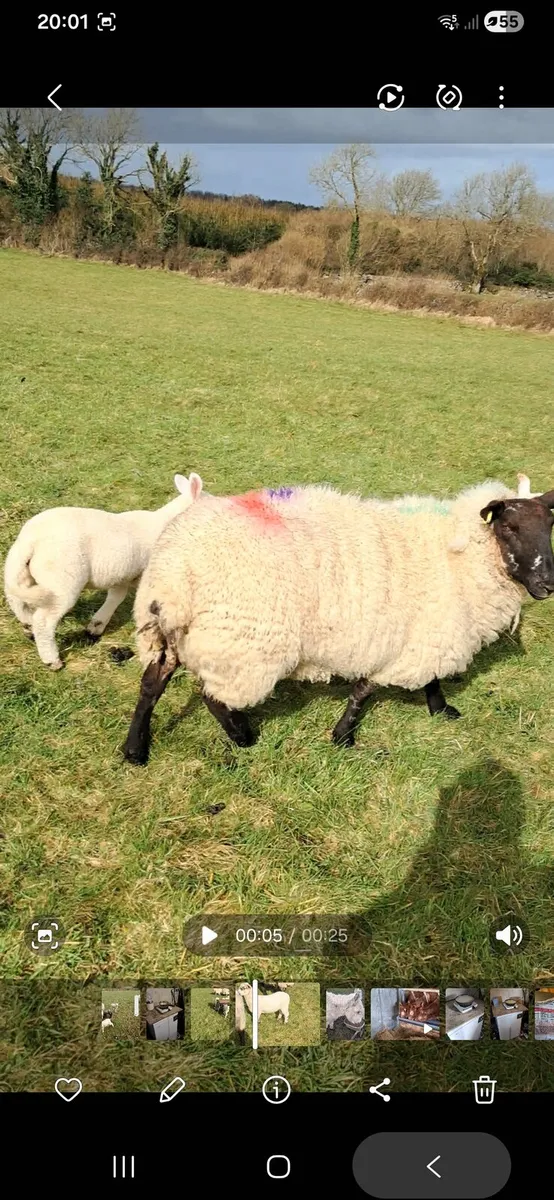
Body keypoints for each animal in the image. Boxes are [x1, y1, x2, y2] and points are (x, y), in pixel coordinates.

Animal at [4, 472, 203, 670]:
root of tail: (32, 540)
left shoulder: (123, 574)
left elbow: (116, 597)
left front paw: (96, 626)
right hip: (61, 580)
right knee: (44, 621)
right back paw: (52, 660)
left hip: (18, 569)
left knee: (16, 600)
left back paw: (28, 627)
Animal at [122, 478, 554, 763]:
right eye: (509, 526)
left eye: (550, 528)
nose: (548, 584)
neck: (457, 554)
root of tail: (173, 575)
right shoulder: (408, 639)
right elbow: (366, 689)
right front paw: (343, 736)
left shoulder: (421, 633)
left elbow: (426, 679)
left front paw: (441, 709)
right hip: (242, 646)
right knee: (214, 699)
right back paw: (243, 736)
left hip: (165, 637)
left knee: (152, 684)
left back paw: (134, 749)